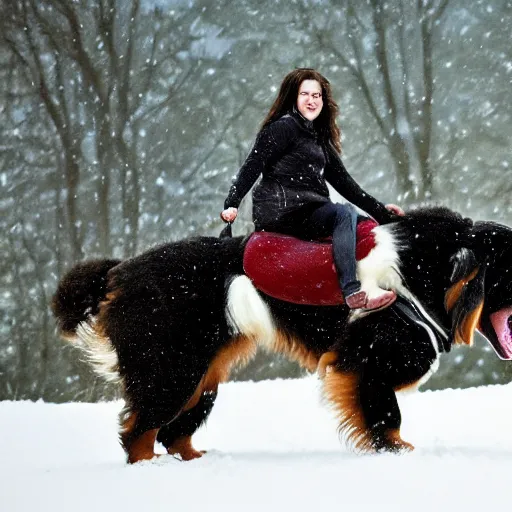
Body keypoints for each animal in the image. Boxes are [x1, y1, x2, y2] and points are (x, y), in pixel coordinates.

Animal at [52, 206, 512, 462]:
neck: (424, 272)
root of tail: (119, 272)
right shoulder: (367, 362)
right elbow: (387, 416)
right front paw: (399, 453)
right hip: (172, 370)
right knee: (140, 432)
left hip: (203, 377)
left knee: (171, 431)